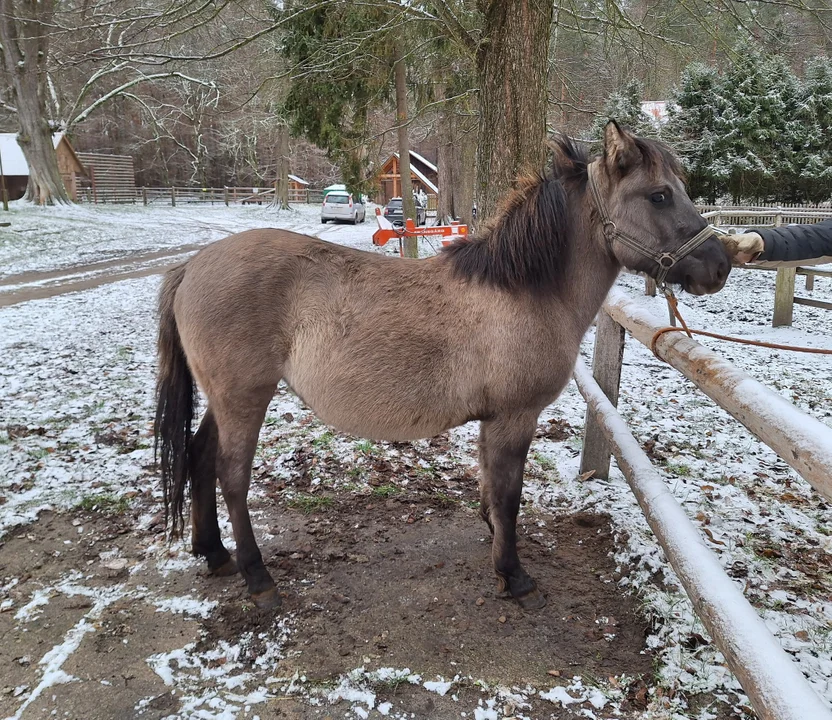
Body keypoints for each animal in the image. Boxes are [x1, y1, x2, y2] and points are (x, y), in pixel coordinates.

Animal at [156, 122, 728, 608]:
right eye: (659, 195)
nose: (719, 265)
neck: (525, 290)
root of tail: (192, 266)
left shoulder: (494, 421)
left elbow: (492, 489)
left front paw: (496, 546)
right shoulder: (515, 417)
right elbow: (509, 495)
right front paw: (515, 576)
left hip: (223, 399)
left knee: (200, 457)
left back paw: (215, 553)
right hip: (244, 397)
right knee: (231, 476)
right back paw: (258, 578)